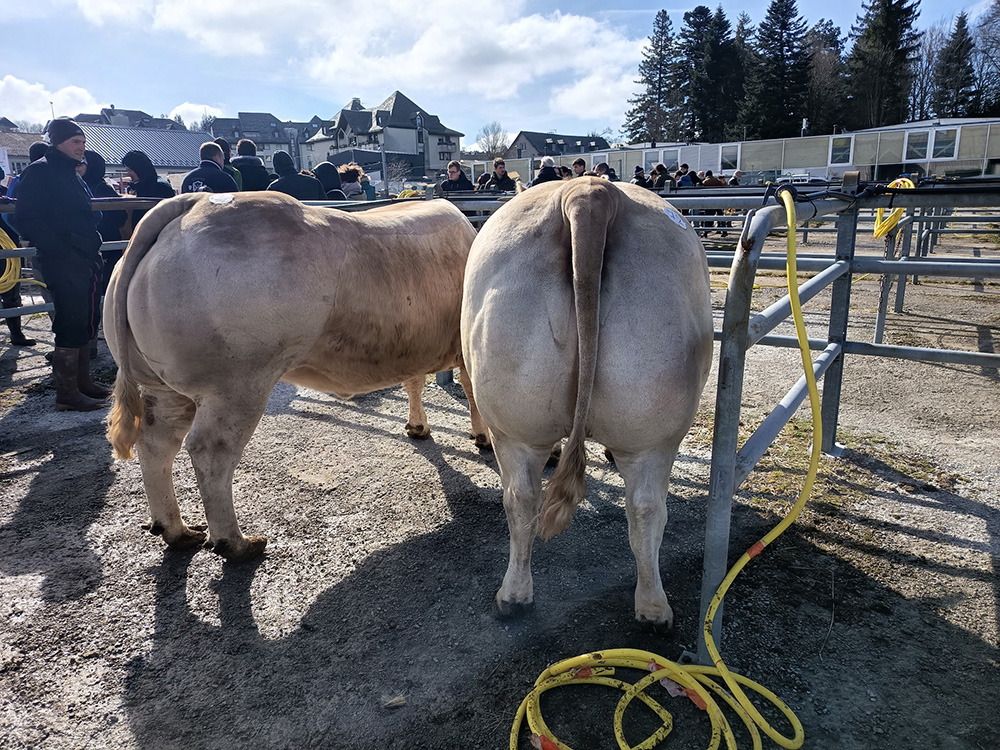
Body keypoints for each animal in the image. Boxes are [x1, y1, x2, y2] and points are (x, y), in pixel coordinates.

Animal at [105, 191, 488, 561]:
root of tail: (192, 203)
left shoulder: (415, 347)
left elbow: (414, 382)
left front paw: (418, 426)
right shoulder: (463, 344)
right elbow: (471, 389)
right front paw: (481, 435)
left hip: (164, 388)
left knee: (156, 444)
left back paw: (176, 530)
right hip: (236, 385)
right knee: (211, 452)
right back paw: (237, 544)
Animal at [461, 177, 713, 626]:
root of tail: (587, 192)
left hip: (517, 423)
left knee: (523, 498)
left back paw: (516, 596)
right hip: (649, 430)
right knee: (644, 506)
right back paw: (652, 607)